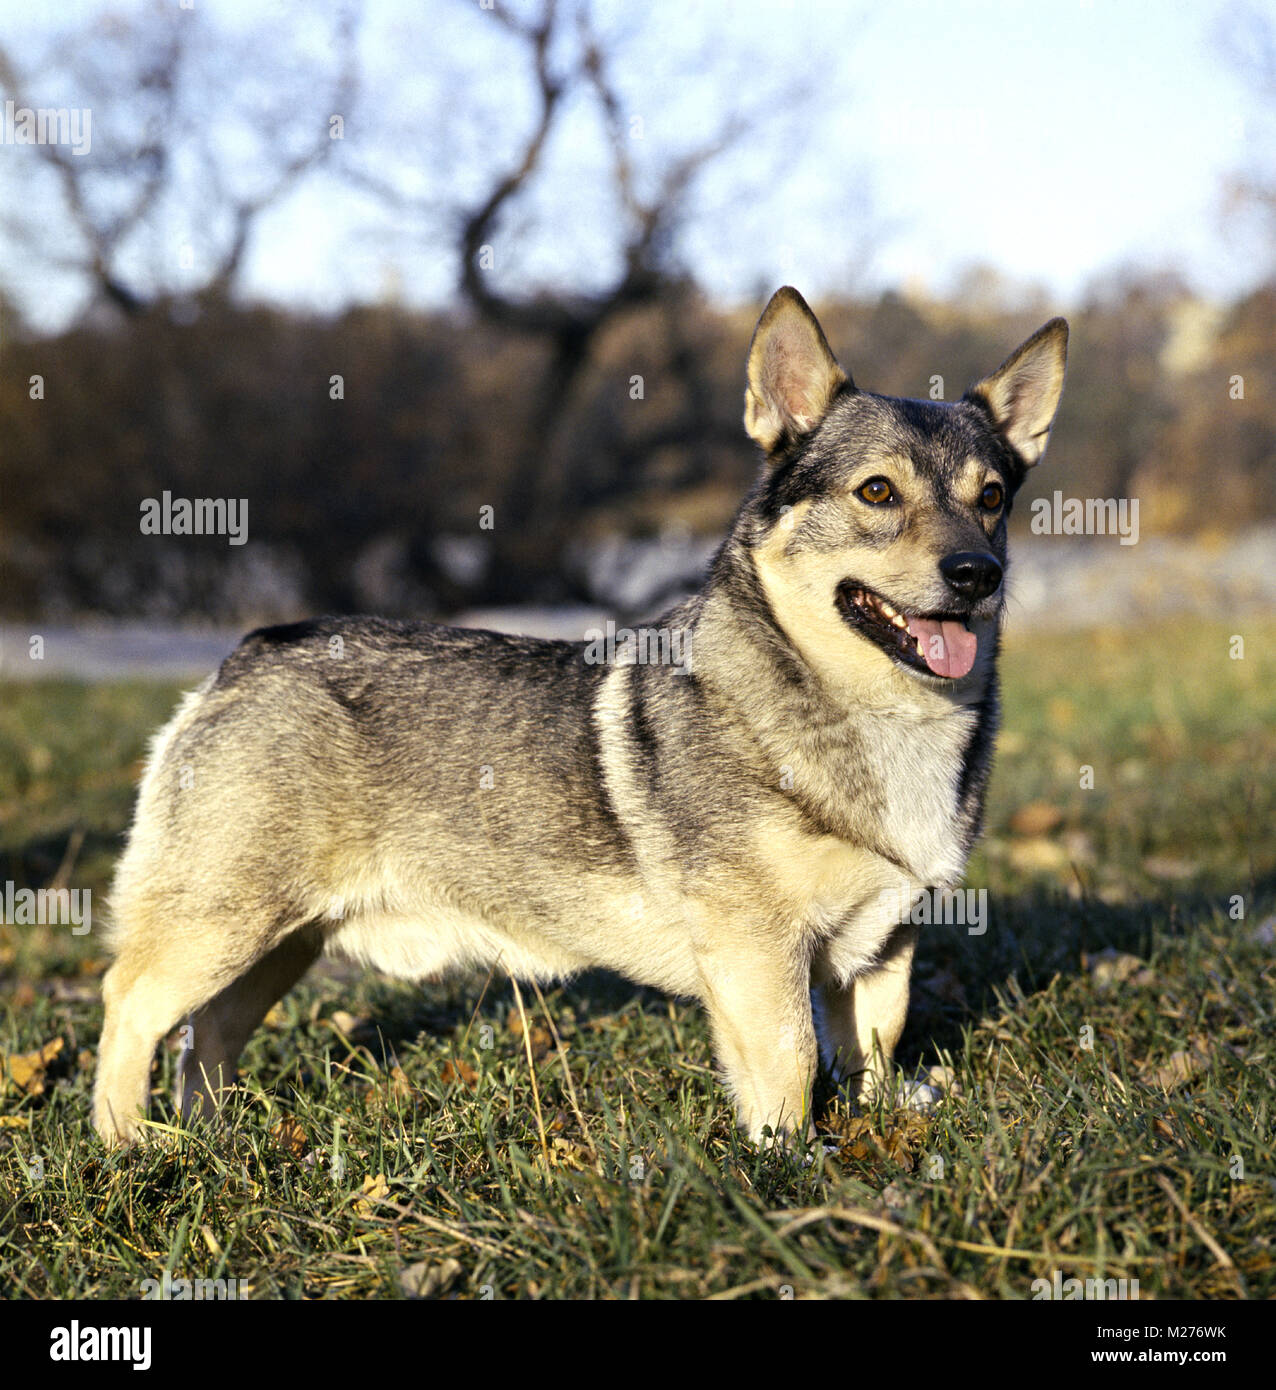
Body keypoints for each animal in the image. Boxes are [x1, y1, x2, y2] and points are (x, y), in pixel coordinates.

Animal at [92, 287, 1067, 1145]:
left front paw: (872, 1126)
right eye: (876, 494)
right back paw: (128, 1147)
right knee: (129, 1009)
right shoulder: (758, 951)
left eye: (992, 498)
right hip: (222, 925)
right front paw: (786, 1164)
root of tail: (247, 654)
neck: (880, 714)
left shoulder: (883, 946)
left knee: (210, 1032)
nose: (978, 574)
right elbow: (790, 1064)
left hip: (282, 940)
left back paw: (210, 1139)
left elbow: (874, 1045)